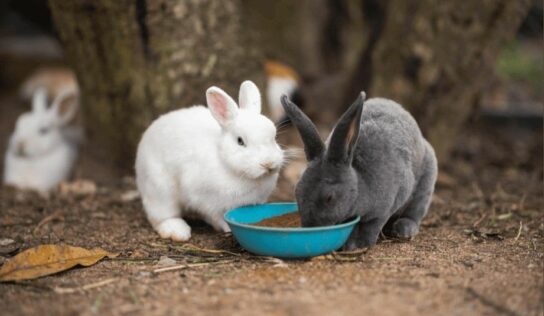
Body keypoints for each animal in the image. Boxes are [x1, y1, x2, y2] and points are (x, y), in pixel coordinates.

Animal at [135, 80, 284, 241]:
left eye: (274, 137)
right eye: (240, 141)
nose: (268, 163)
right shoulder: (206, 202)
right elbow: (217, 217)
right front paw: (227, 228)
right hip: (160, 190)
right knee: (161, 216)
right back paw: (177, 231)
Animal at [280, 92, 438, 249]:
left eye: (329, 197)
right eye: (297, 191)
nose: (310, 226)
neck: (360, 183)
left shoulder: (385, 209)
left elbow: (371, 227)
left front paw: (361, 245)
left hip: (426, 184)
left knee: (415, 211)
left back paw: (404, 229)